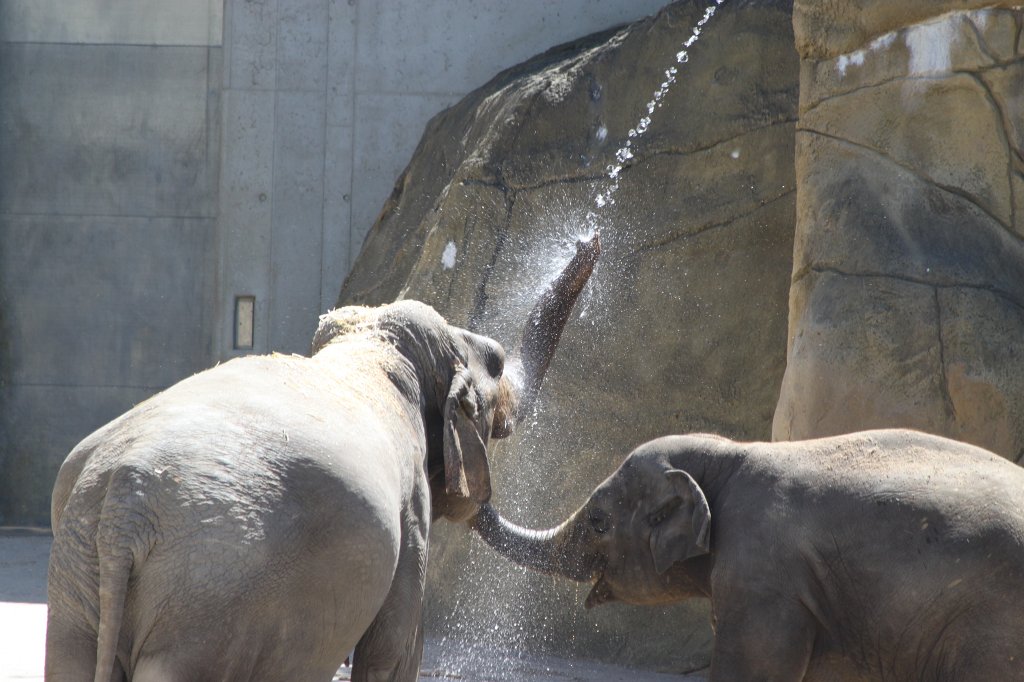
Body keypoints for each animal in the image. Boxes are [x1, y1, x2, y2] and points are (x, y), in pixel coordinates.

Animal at [45, 235, 600, 681]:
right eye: (498, 365)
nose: (590, 241)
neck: (372, 345)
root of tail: (125, 506)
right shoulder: (410, 509)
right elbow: (392, 650)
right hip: (207, 604)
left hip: (79, 580)